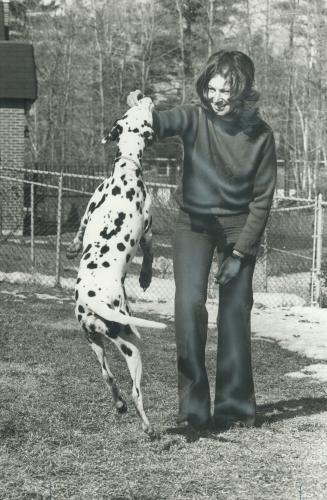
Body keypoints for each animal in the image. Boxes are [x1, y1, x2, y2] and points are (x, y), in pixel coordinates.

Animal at [68, 97, 168, 434]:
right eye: (142, 113)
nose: (146, 97)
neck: (126, 170)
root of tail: (94, 302)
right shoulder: (148, 232)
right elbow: (149, 256)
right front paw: (147, 279)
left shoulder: (88, 210)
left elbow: (79, 231)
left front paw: (72, 248)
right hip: (132, 346)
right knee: (136, 392)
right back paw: (147, 426)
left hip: (94, 342)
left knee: (109, 377)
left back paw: (120, 404)